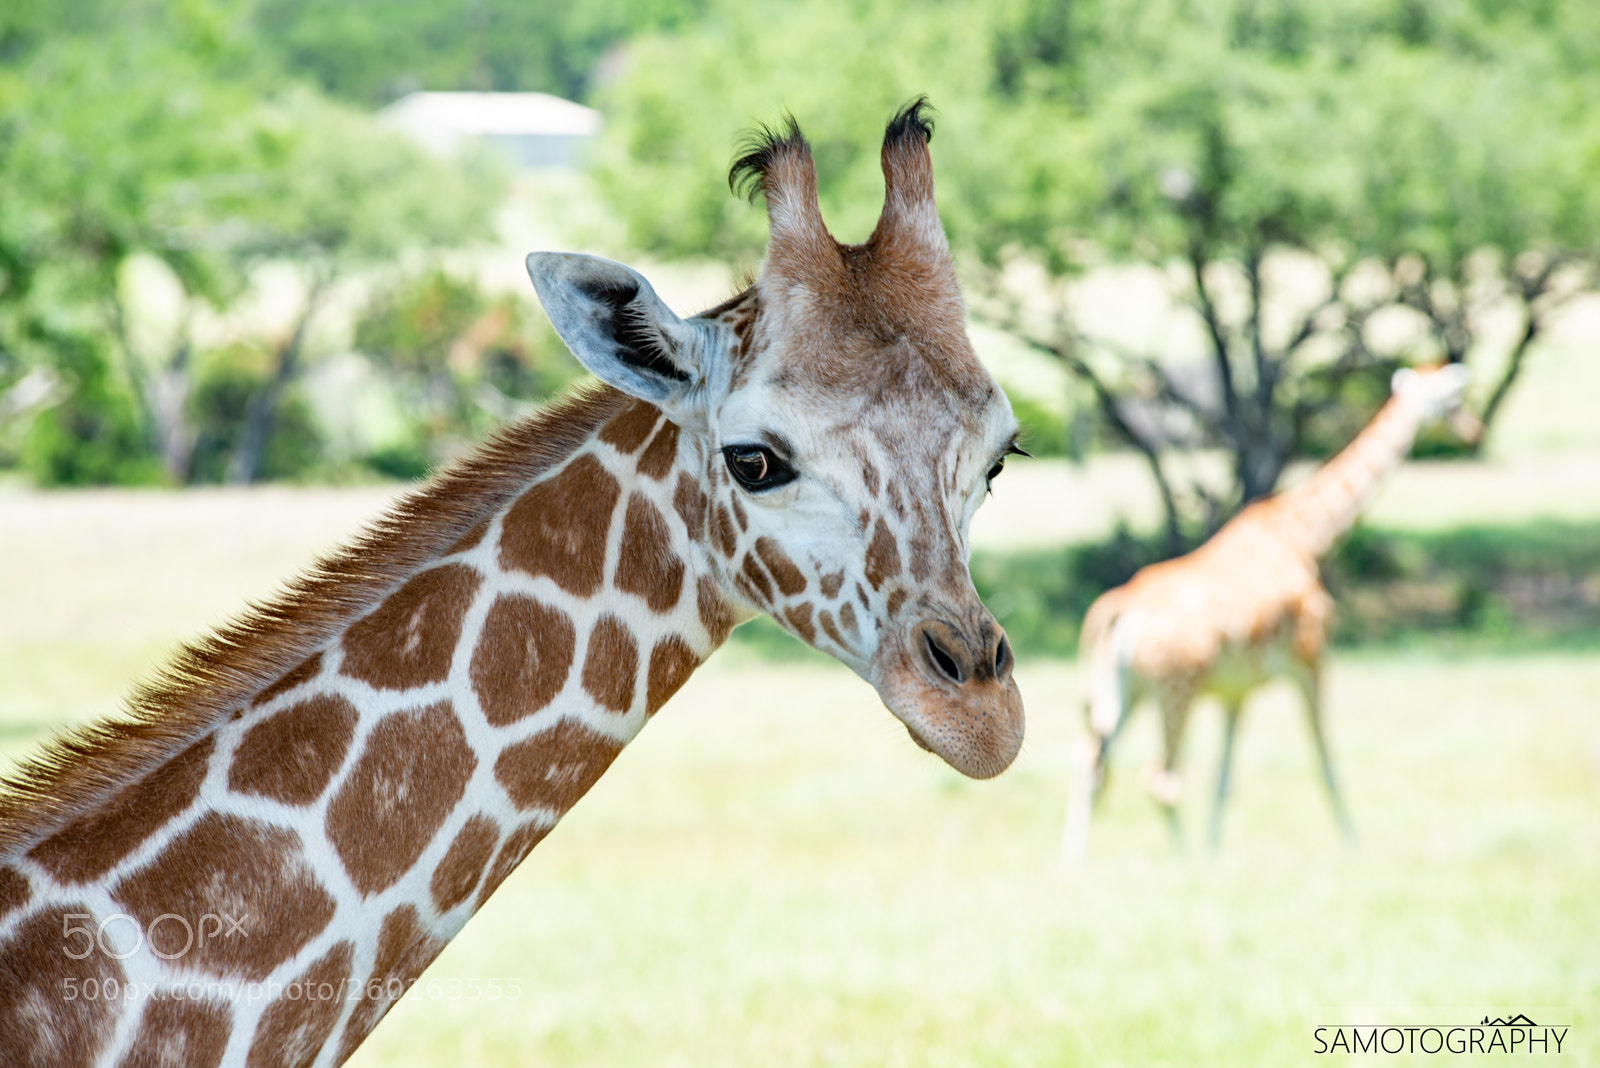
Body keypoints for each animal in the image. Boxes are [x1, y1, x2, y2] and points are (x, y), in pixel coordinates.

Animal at [1061, 363, 1472, 862]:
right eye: (1450, 400)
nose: (1472, 430)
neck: (1306, 535)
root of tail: (1117, 610)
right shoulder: (1311, 661)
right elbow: (1326, 762)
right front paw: (1353, 844)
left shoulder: (1236, 692)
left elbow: (1225, 780)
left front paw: (1216, 848)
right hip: (1176, 690)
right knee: (1159, 778)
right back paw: (1182, 862)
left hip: (1122, 692)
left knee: (1090, 762)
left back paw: (1073, 863)